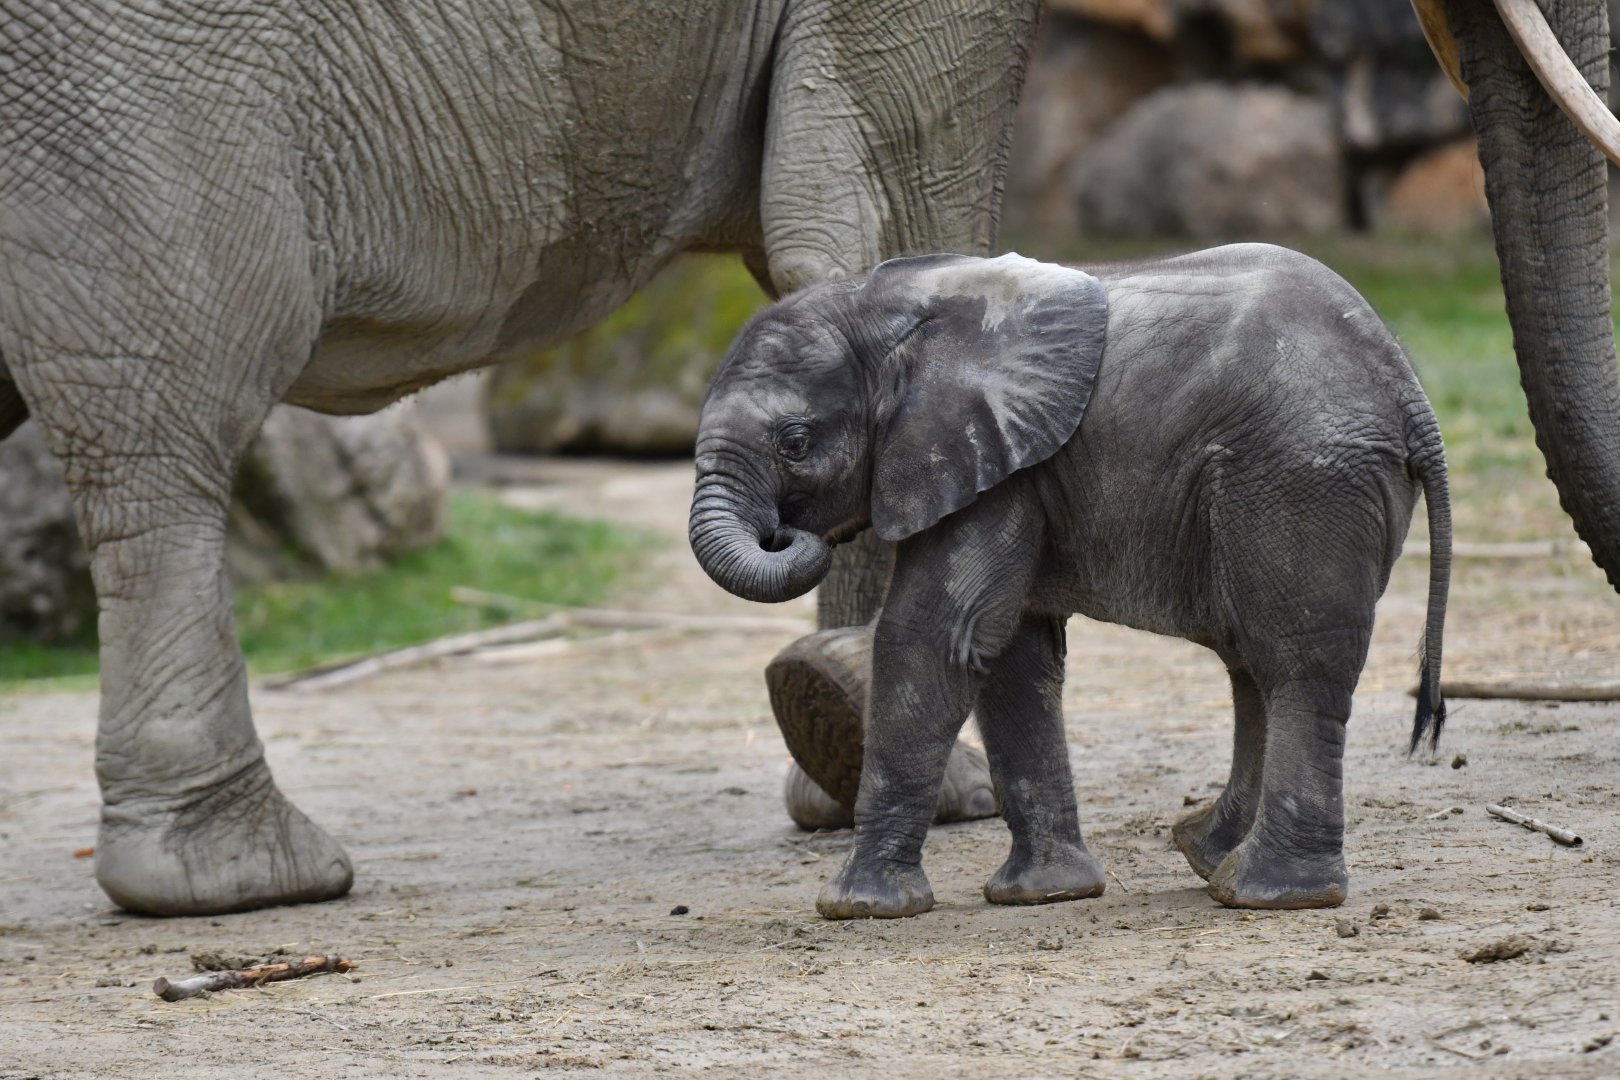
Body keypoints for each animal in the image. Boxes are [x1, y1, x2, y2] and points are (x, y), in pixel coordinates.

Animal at [0, 0, 1038, 915]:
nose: (790, 534)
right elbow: (872, 230)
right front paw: (929, 782)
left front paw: (832, 731)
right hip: (129, 98)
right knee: (171, 409)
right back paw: (246, 879)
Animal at [688, 245, 1452, 915]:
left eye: (795, 442)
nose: (790, 533)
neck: (883, 306)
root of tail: (1409, 389)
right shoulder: (1012, 462)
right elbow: (1011, 656)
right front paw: (1044, 895)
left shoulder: (993, 463)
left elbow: (934, 637)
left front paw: (858, 908)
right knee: (1252, 662)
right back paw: (1206, 857)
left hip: (1304, 476)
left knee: (1295, 660)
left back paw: (1269, 894)